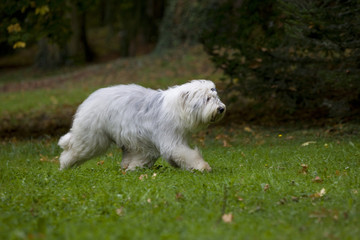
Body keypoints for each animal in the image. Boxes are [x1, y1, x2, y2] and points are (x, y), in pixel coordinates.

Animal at [58, 79, 225, 172]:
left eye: (215, 96)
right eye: (207, 99)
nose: (221, 109)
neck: (179, 109)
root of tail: (89, 100)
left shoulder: (146, 142)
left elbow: (144, 156)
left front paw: (134, 168)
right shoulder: (170, 140)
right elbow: (185, 154)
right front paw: (202, 166)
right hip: (91, 139)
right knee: (73, 151)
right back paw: (64, 165)